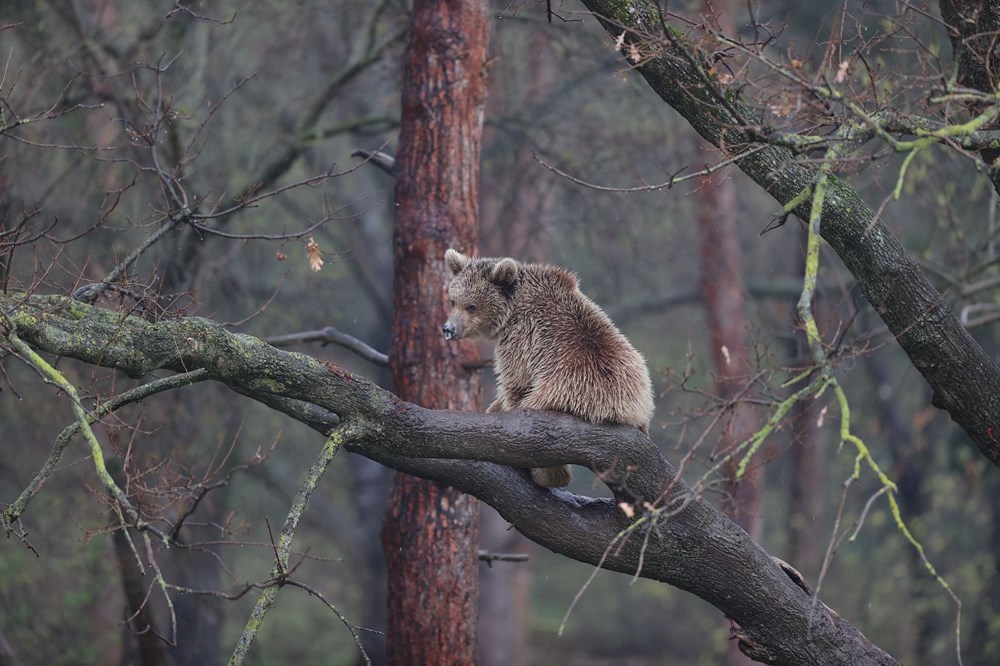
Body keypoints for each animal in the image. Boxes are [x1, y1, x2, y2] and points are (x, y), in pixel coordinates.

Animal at [442, 246, 652, 486]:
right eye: (453, 301)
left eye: (472, 306)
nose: (449, 329)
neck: (512, 310)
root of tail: (616, 410)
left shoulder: (521, 340)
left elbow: (514, 382)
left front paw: (497, 408)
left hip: (564, 389)